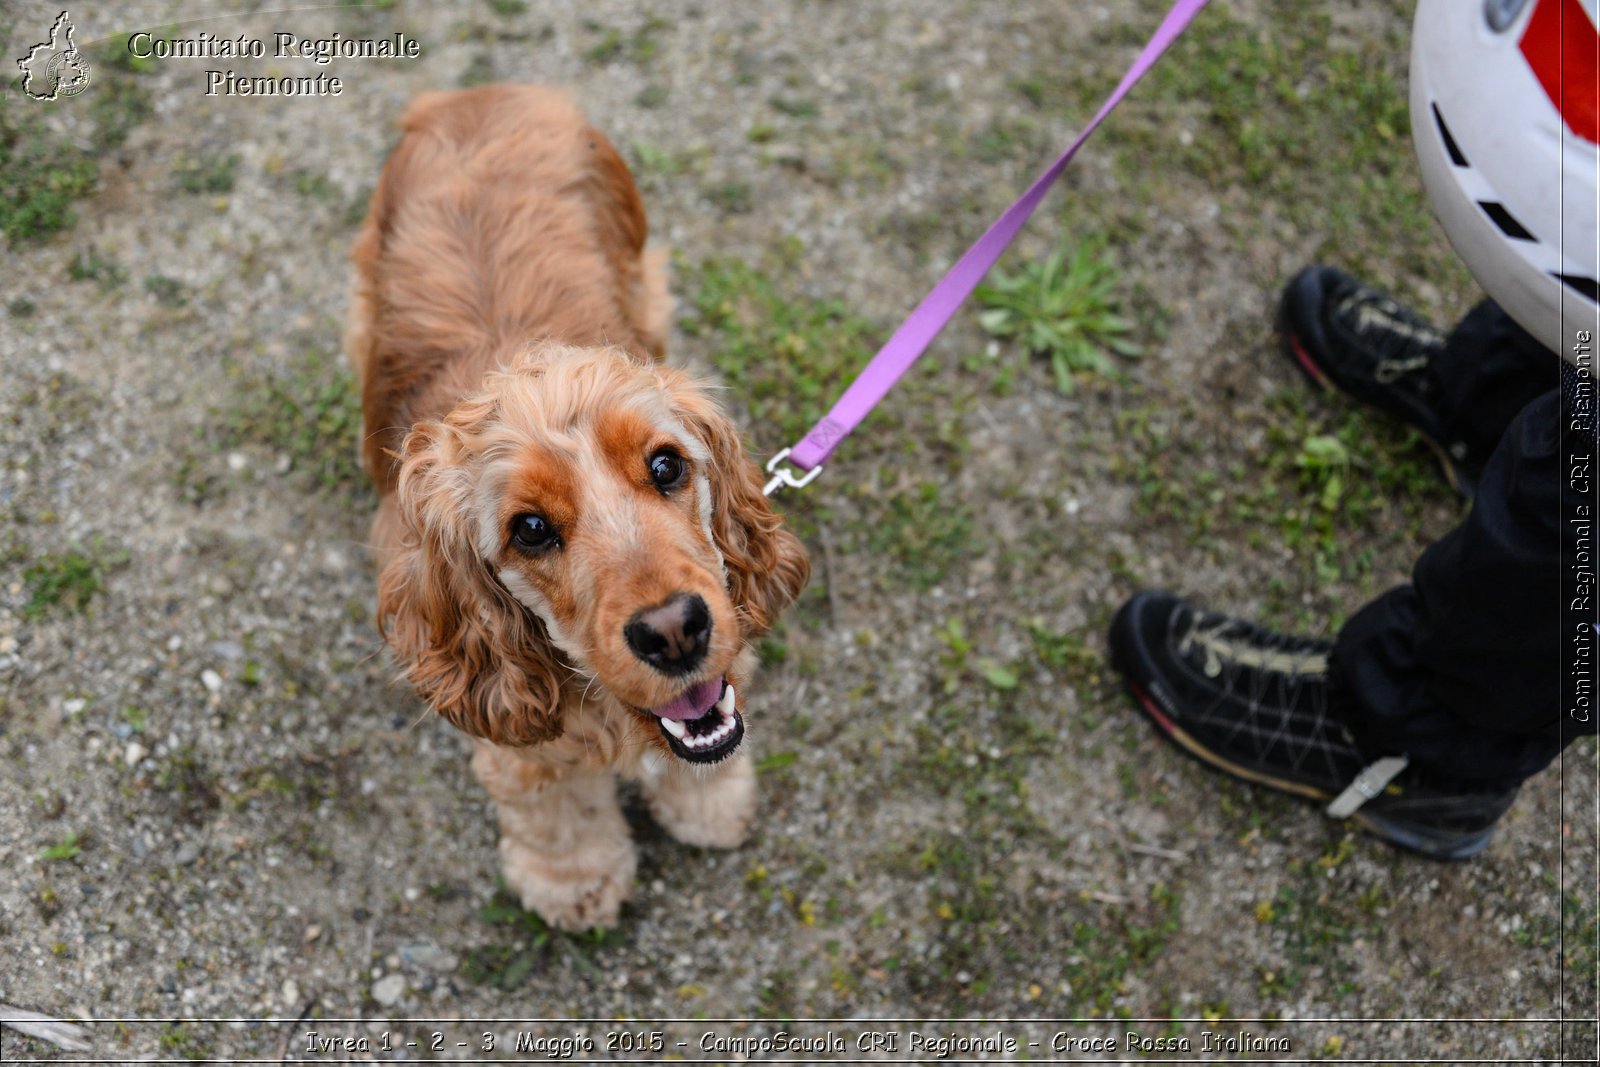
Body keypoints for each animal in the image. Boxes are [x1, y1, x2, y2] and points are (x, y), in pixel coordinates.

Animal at [342, 87, 806, 927]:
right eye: (529, 529)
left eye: (666, 464)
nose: (675, 630)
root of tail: (471, 94)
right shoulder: (512, 718)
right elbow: (551, 804)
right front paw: (575, 880)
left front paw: (711, 804)